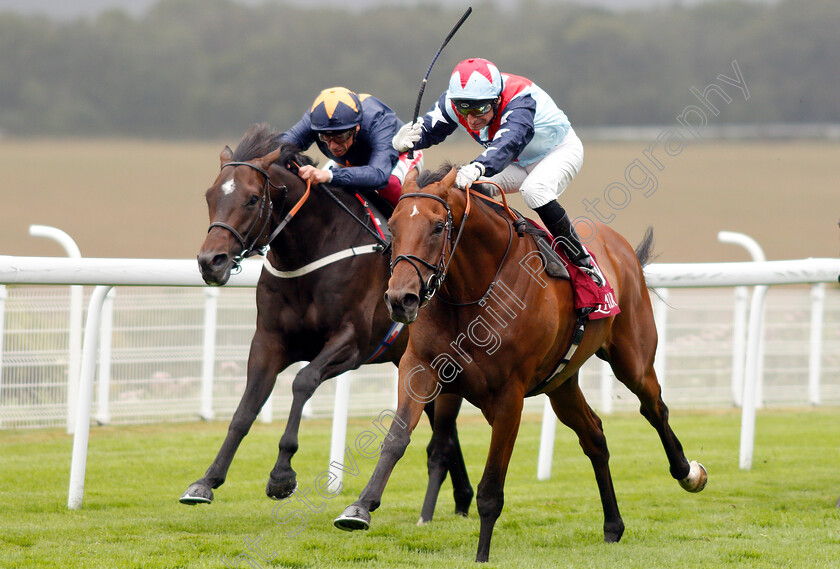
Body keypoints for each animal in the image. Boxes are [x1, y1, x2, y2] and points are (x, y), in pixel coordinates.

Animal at [180, 123, 472, 520]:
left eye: (253, 199)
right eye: (210, 195)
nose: (211, 261)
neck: (311, 251)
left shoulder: (351, 343)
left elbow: (303, 381)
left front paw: (282, 475)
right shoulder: (268, 341)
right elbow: (245, 408)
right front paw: (207, 481)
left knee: (443, 436)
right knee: (445, 435)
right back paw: (461, 499)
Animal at [334, 166, 708, 560]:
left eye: (437, 227)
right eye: (392, 225)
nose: (400, 299)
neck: (472, 292)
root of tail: (620, 248)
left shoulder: (509, 395)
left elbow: (491, 488)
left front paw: (482, 556)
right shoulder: (420, 368)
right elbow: (396, 438)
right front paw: (359, 508)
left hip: (632, 358)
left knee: (655, 407)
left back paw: (688, 473)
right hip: (561, 385)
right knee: (594, 436)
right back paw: (612, 526)